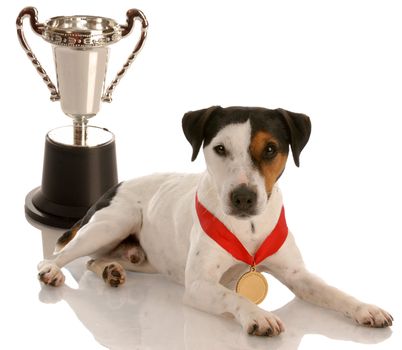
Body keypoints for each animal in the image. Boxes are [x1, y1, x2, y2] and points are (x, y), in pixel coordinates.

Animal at [37, 106, 392, 336]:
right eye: (220, 148)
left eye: (271, 149)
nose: (243, 197)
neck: (248, 229)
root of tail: (114, 186)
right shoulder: (198, 284)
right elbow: (234, 295)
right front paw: (258, 315)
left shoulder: (298, 275)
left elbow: (334, 291)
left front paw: (366, 308)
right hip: (112, 224)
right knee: (60, 254)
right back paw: (53, 271)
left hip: (142, 258)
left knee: (96, 260)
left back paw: (111, 270)